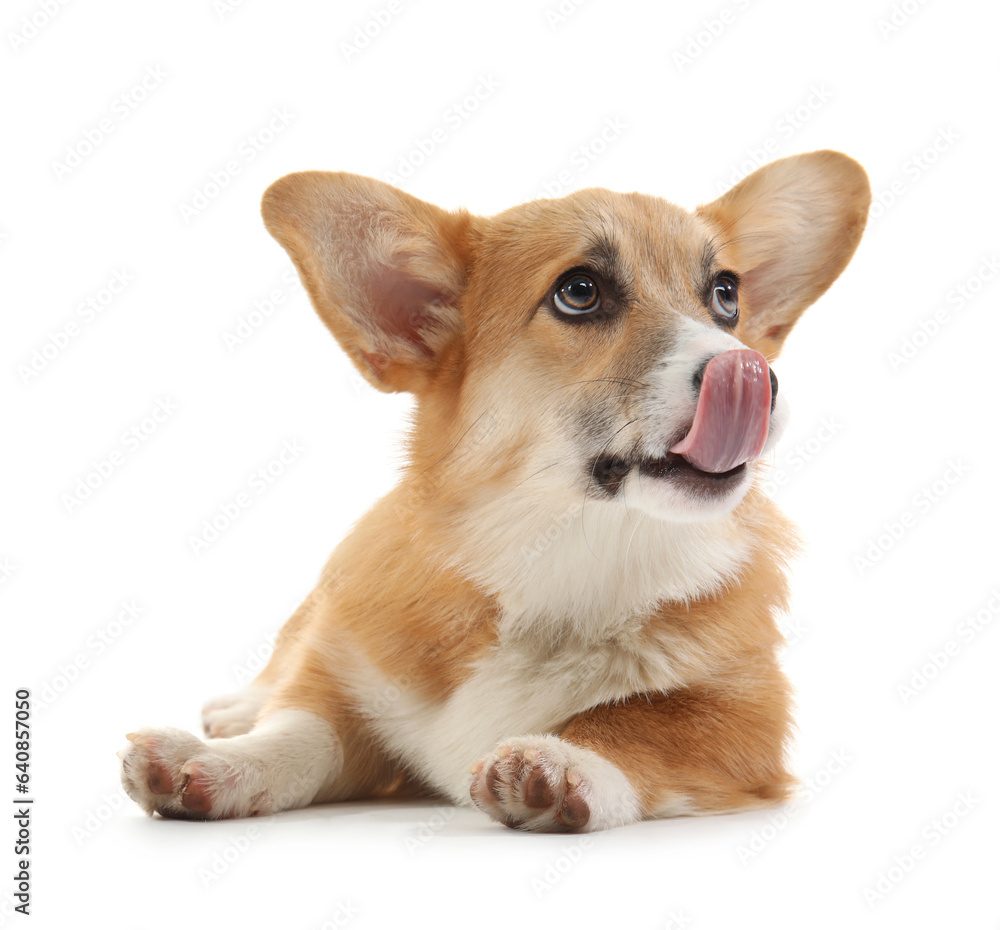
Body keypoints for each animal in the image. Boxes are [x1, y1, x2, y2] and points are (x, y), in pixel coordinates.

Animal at [115, 149, 868, 832]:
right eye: (580, 291)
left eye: (726, 295)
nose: (755, 376)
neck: (562, 552)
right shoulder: (349, 679)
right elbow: (300, 730)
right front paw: (217, 764)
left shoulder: (747, 713)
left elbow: (642, 723)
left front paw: (564, 759)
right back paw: (235, 713)